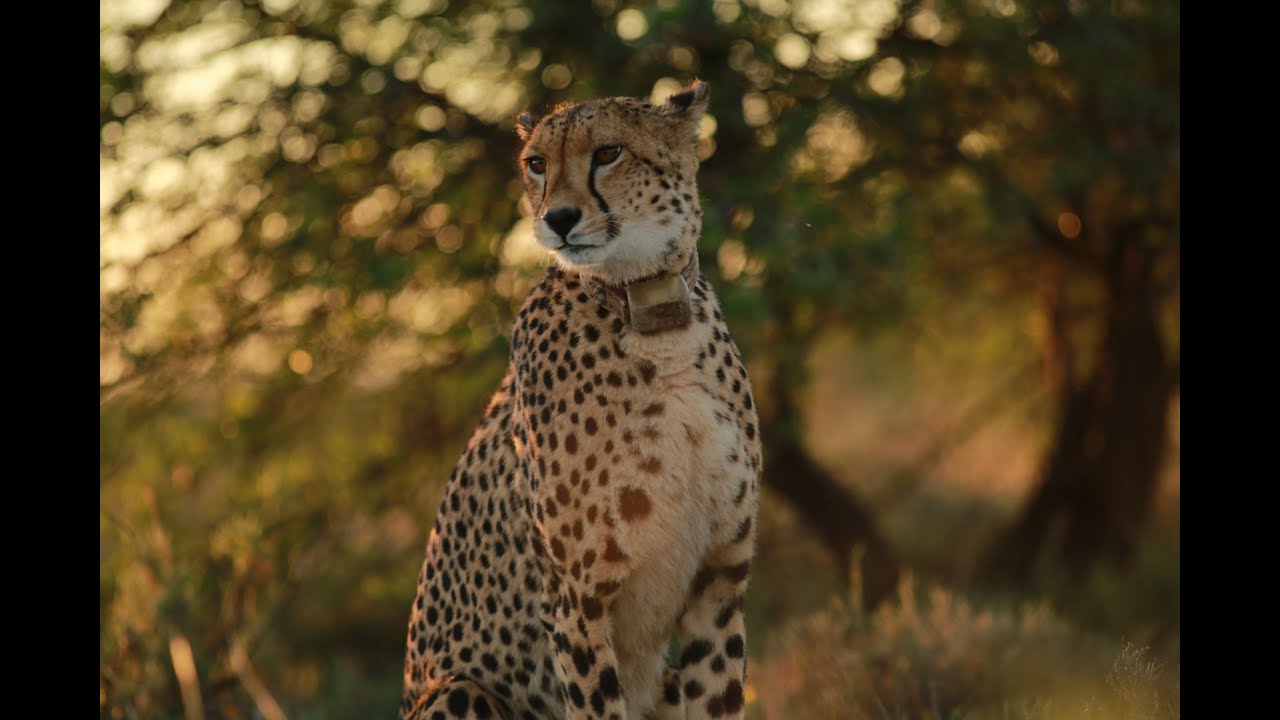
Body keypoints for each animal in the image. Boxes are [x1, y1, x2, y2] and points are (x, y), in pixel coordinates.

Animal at [400, 80, 761, 720]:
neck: (653, 316)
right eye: (536, 164)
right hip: (458, 690)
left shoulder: (720, 582)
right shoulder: (575, 600)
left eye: (608, 153)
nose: (558, 219)